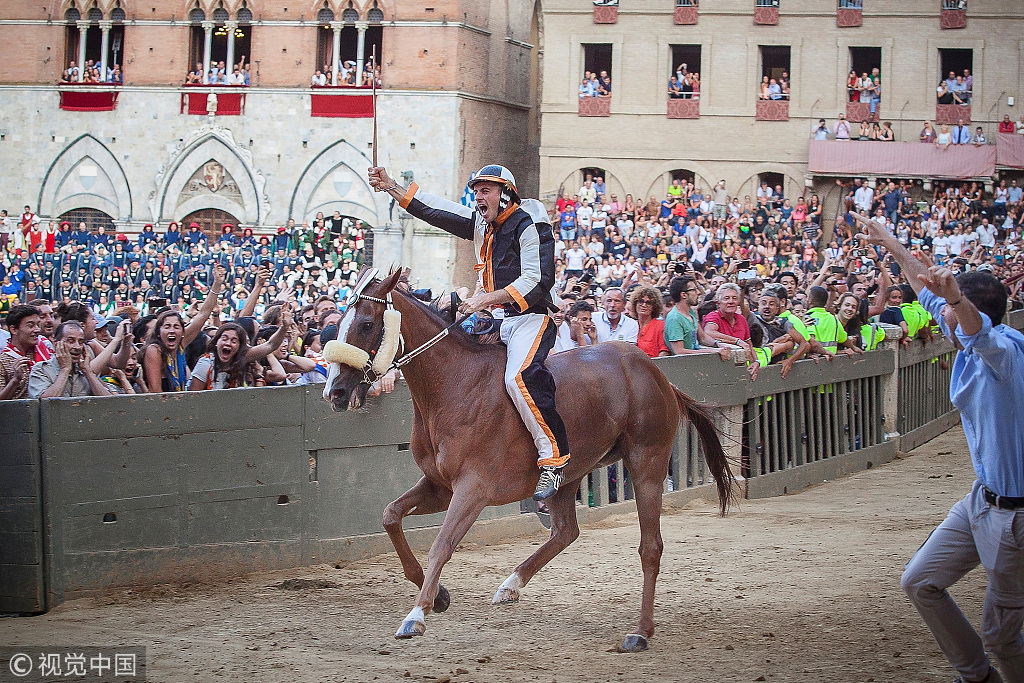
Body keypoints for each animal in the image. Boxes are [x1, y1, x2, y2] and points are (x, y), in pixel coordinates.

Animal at [323, 270, 733, 651]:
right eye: (339, 322)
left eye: (366, 323)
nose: (334, 391)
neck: (455, 385)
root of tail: (656, 373)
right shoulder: (440, 486)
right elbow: (390, 515)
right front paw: (438, 596)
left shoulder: (473, 490)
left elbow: (441, 544)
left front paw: (416, 615)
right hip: (569, 474)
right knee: (566, 530)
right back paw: (511, 584)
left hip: (647, 463)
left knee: (650, 547)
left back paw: (640, 631)